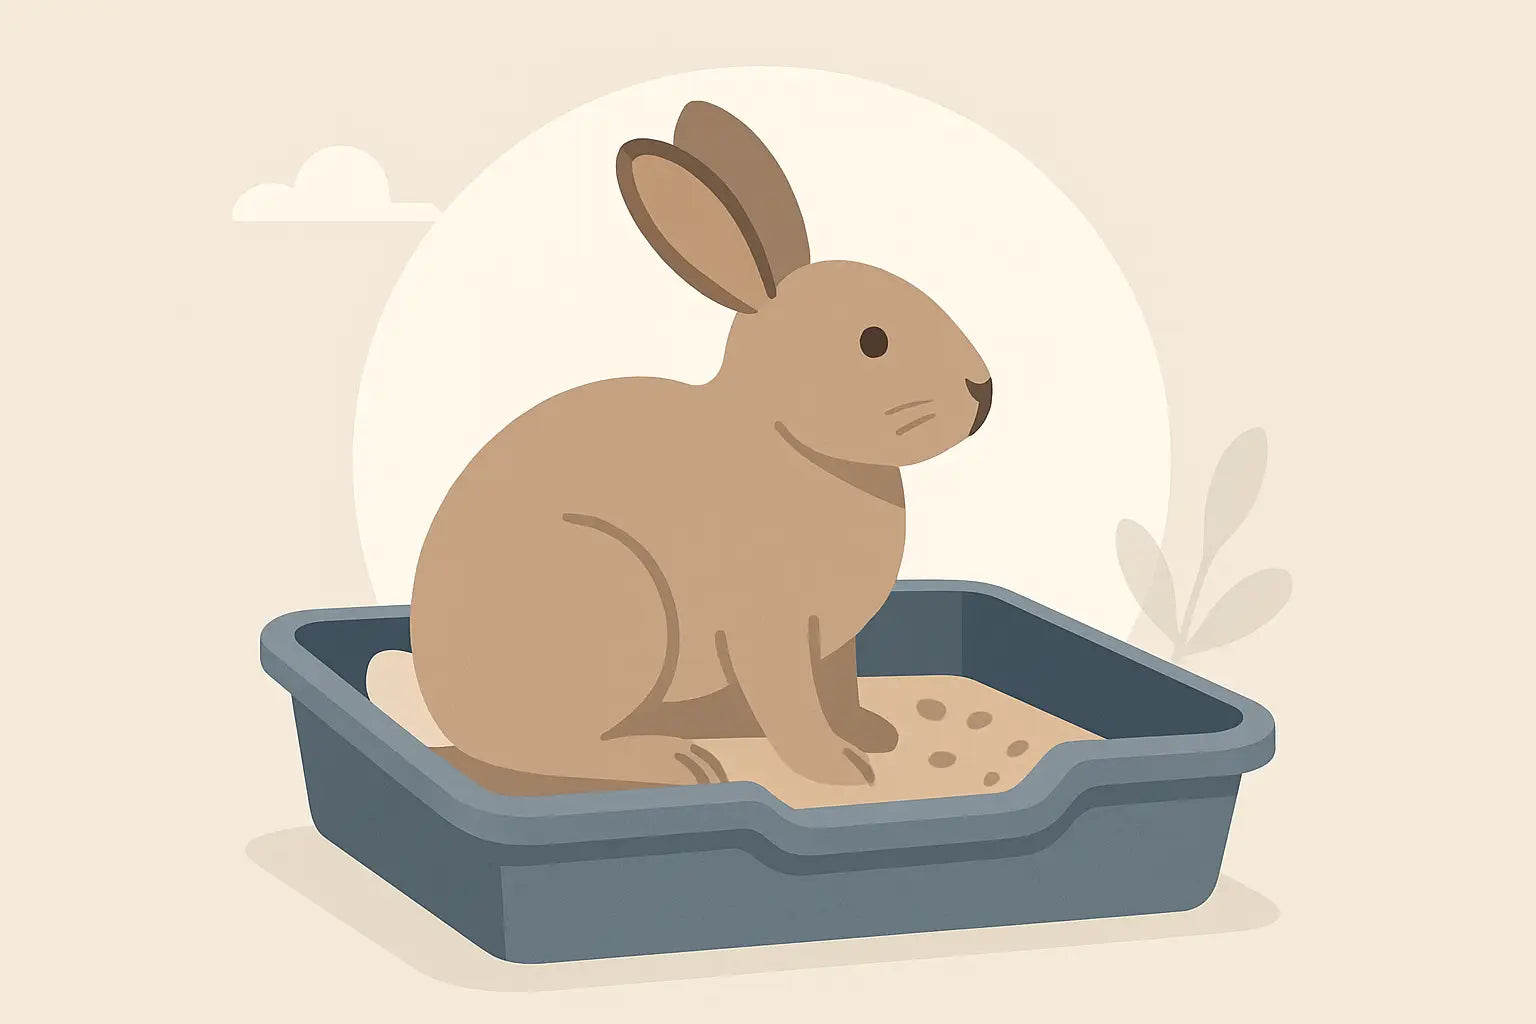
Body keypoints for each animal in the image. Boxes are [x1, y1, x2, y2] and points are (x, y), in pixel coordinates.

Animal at [390, 100, 992, 788]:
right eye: (872, 341)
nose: (983, 391)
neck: (790, 440)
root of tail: (442, 707)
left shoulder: (834, 646)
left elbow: (838, 691)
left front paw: (871, 736)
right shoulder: (770, 629)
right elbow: (792, 705)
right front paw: (840, 769)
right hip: (615, 599)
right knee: (545, 748)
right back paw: (677, 761)